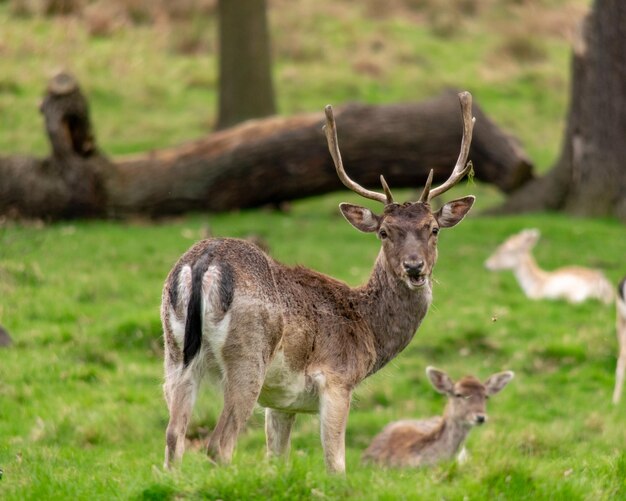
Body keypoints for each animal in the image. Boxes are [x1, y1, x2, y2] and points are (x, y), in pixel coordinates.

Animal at [160, 91, 472, 472]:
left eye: (434, 229)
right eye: (384, 232)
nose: (414, 267)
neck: (367, 331)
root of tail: (204, 261)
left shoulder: (281, 402)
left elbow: (277, 459)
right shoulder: (337, 380)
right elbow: (336, 463)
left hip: (175, 352)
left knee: (174, 435)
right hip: (247, 356)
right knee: (219, 443)